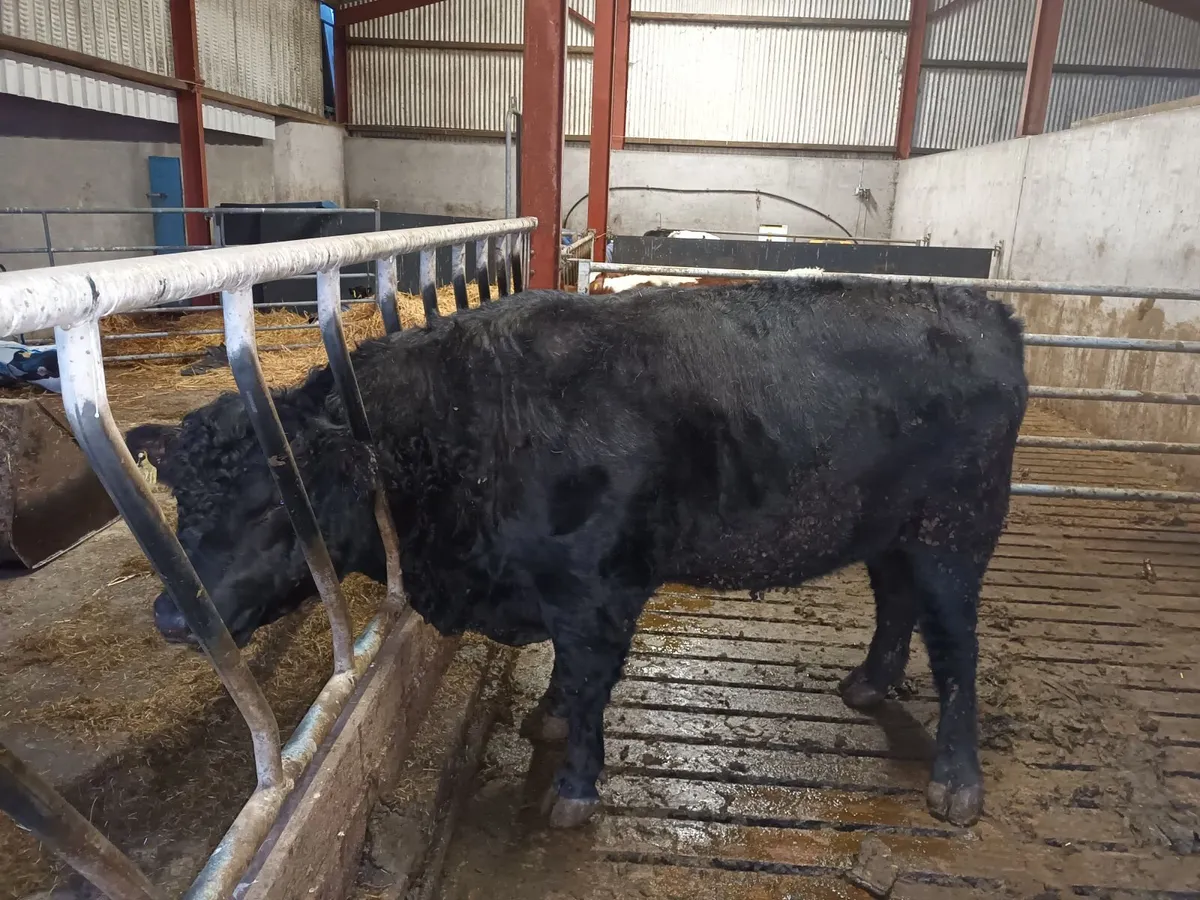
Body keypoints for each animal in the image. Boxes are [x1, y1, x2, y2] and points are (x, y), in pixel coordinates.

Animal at [125, 276, 1027, 831]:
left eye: (275, 507)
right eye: (181, 504)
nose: (171, 615)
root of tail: (985, 310)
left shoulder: (599, 589)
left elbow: (593, 682)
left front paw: (574, 787)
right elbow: (568, 673)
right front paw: (551, 714)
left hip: (956, 534)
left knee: (957, 649)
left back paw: (957, 780)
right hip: (895, 532)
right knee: (895, 602)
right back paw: (869, 683)